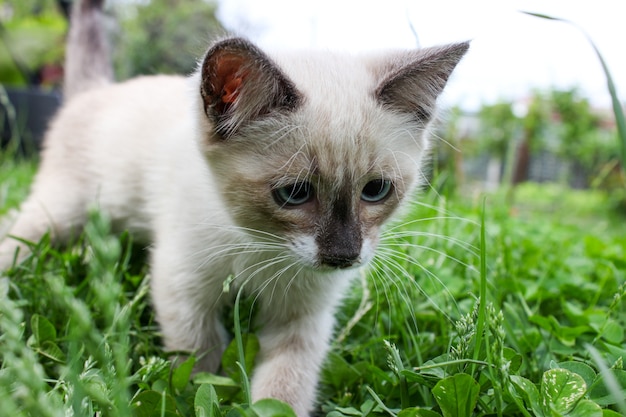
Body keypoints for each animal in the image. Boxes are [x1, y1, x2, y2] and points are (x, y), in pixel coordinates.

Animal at [0, 1, 466, 414]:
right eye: (294, 194)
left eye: (375, 190)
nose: (343, 256)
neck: (263, 246)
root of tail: (98, 90)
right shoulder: (184, 288)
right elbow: (201, 366)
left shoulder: (302, 317)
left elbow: (284, 389)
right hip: (58, 214)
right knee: (17, 232)